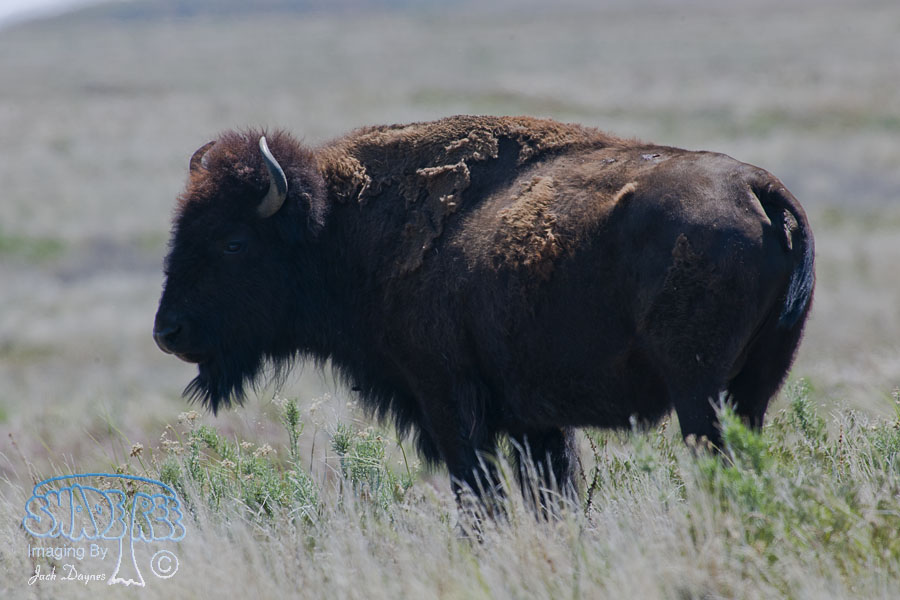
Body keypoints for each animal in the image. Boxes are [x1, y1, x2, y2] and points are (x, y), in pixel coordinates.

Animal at [154, 115, 814, 500]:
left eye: (233, 242)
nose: (168, 331)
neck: (342, 226)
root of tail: (759, 190)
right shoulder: (534, 421)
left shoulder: (447, 402)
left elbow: (480, 499)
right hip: (752, 389)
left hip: (699, 393)